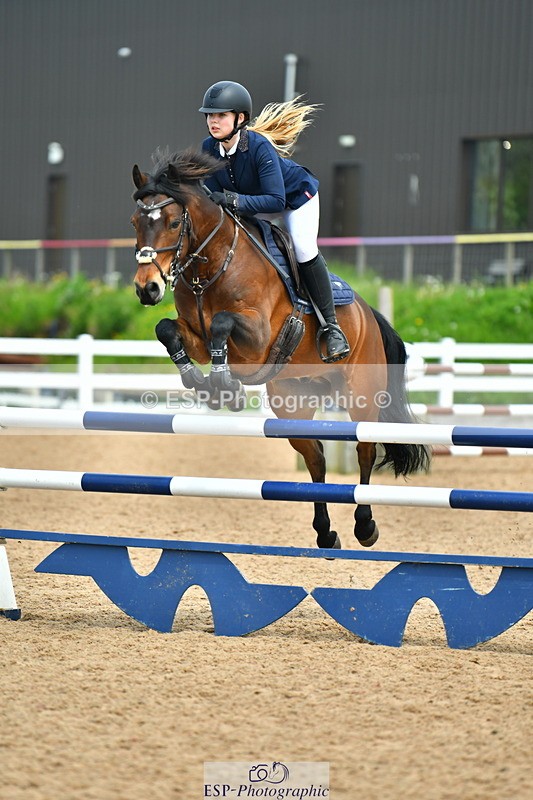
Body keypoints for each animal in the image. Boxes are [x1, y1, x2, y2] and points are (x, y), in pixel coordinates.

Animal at [131, 148, 430, 550]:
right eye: (135, 222)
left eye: (175, 222)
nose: (147, 288)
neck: (211, 267)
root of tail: (368, 313)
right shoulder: (195, 334)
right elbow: (168, 330)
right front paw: (201, 382)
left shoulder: (256, 339)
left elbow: (222, 324)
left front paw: (224, 388)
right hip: (293, 400)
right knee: (315, 456)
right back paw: (325, 533)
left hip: (362, 395)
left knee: (364, 449)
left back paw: (365, 526)